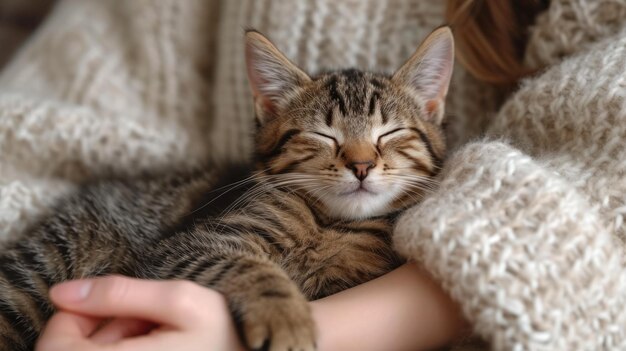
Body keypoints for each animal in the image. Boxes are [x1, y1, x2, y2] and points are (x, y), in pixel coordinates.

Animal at [0, 27, 450, 351]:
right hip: (41, 267)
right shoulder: (188, 244)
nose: (361, 166)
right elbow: (250, 266)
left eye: (389, 133)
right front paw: (285, 316)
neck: (329, 224)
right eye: (324, 135)